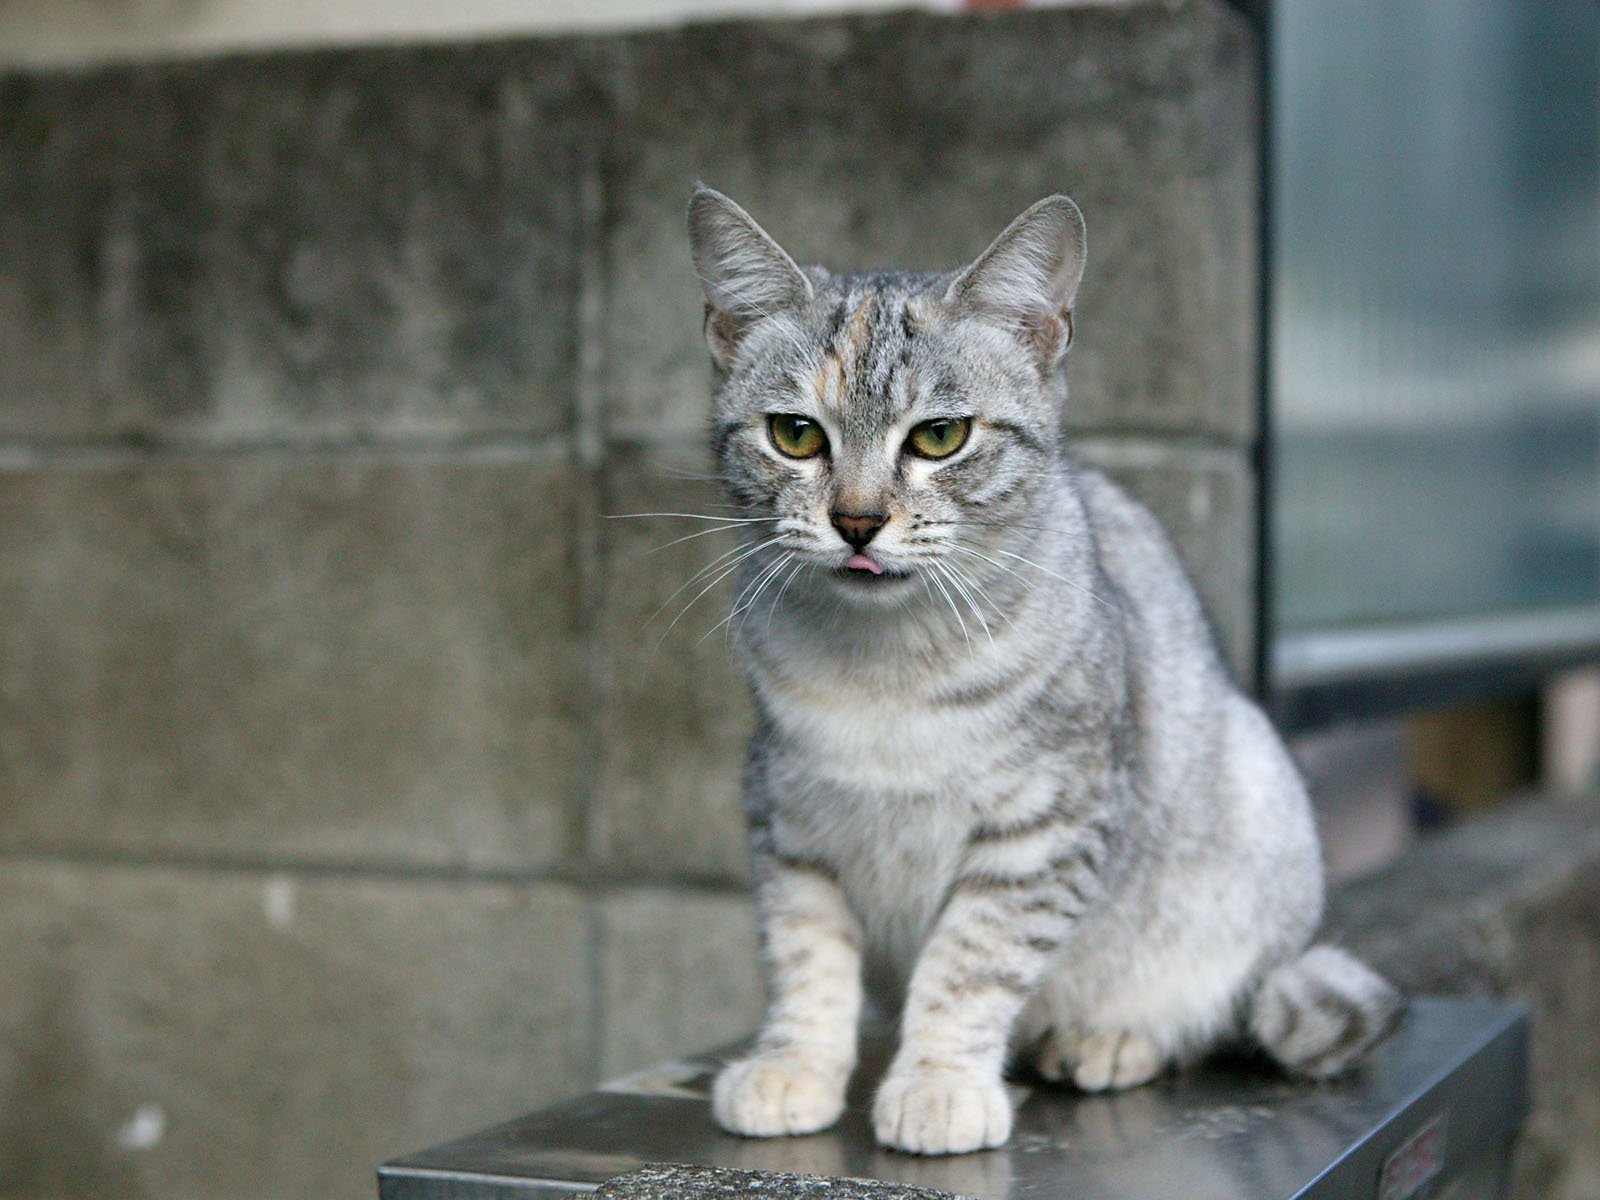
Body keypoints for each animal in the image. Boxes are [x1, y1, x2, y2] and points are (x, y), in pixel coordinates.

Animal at [688, 185, 1401, 1158]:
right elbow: (805, 954)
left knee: (1212, 1008)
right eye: (795, 435)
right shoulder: (790, 817)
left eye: (940, 437)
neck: (885, 669)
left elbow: (970, 964)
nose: (857, 521)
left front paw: (940, 1085)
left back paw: (1108, 1038)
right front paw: (795, 1065)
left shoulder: (1043, 826)